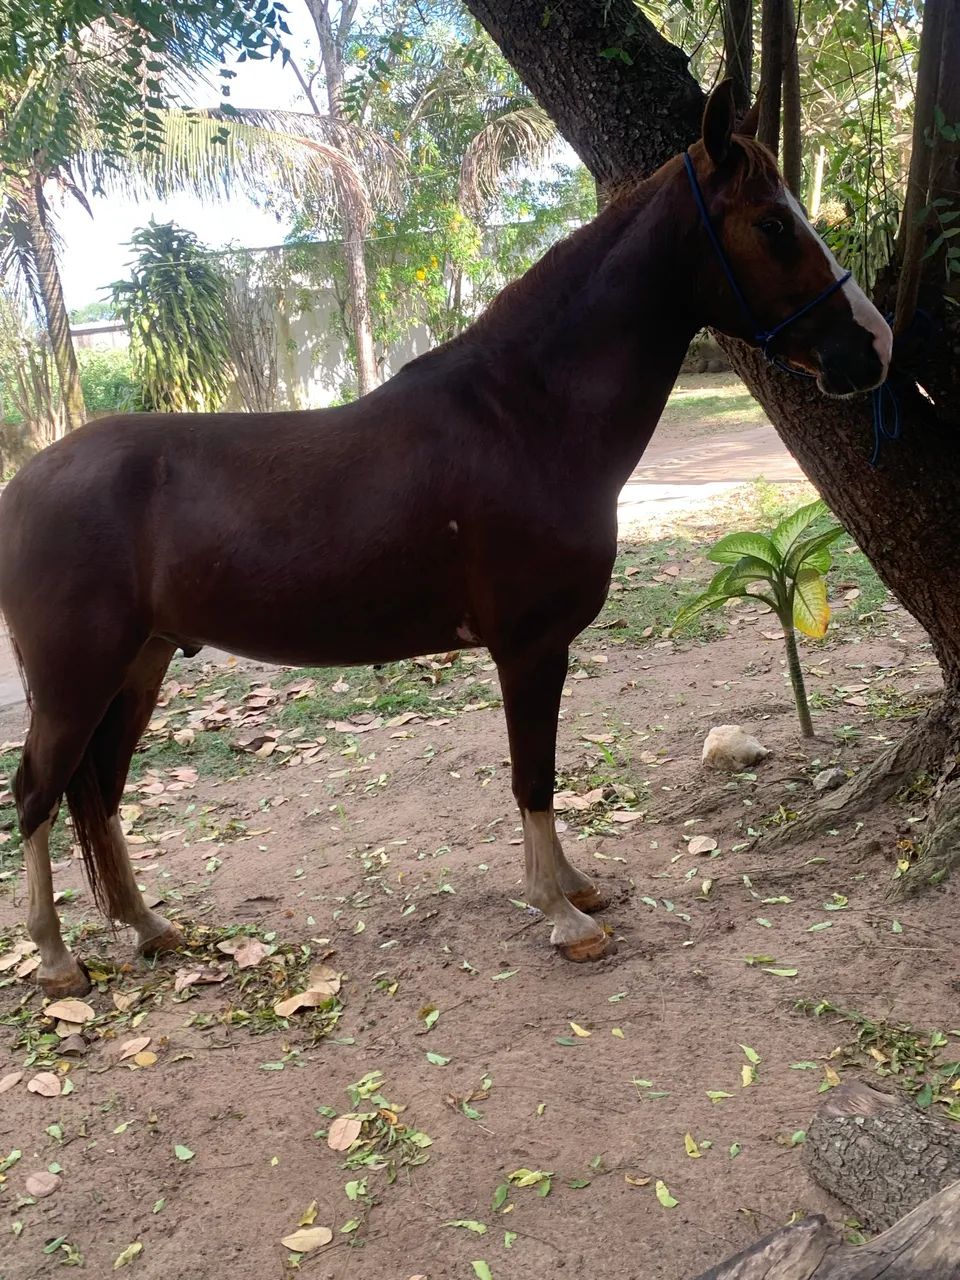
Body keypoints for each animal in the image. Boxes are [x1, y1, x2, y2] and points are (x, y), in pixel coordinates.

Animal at [0, 82, 891, 998]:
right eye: (773, 224)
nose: (874, 346)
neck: (523, 416)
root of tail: (24, 485)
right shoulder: (529, 646)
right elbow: (532, 774)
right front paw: (561, 914)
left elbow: (543, 773)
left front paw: (576, 888)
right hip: (76, 679)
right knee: (36, 792)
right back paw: (57, 958)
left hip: (138, 666)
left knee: (100, 789)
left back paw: (148, 927)